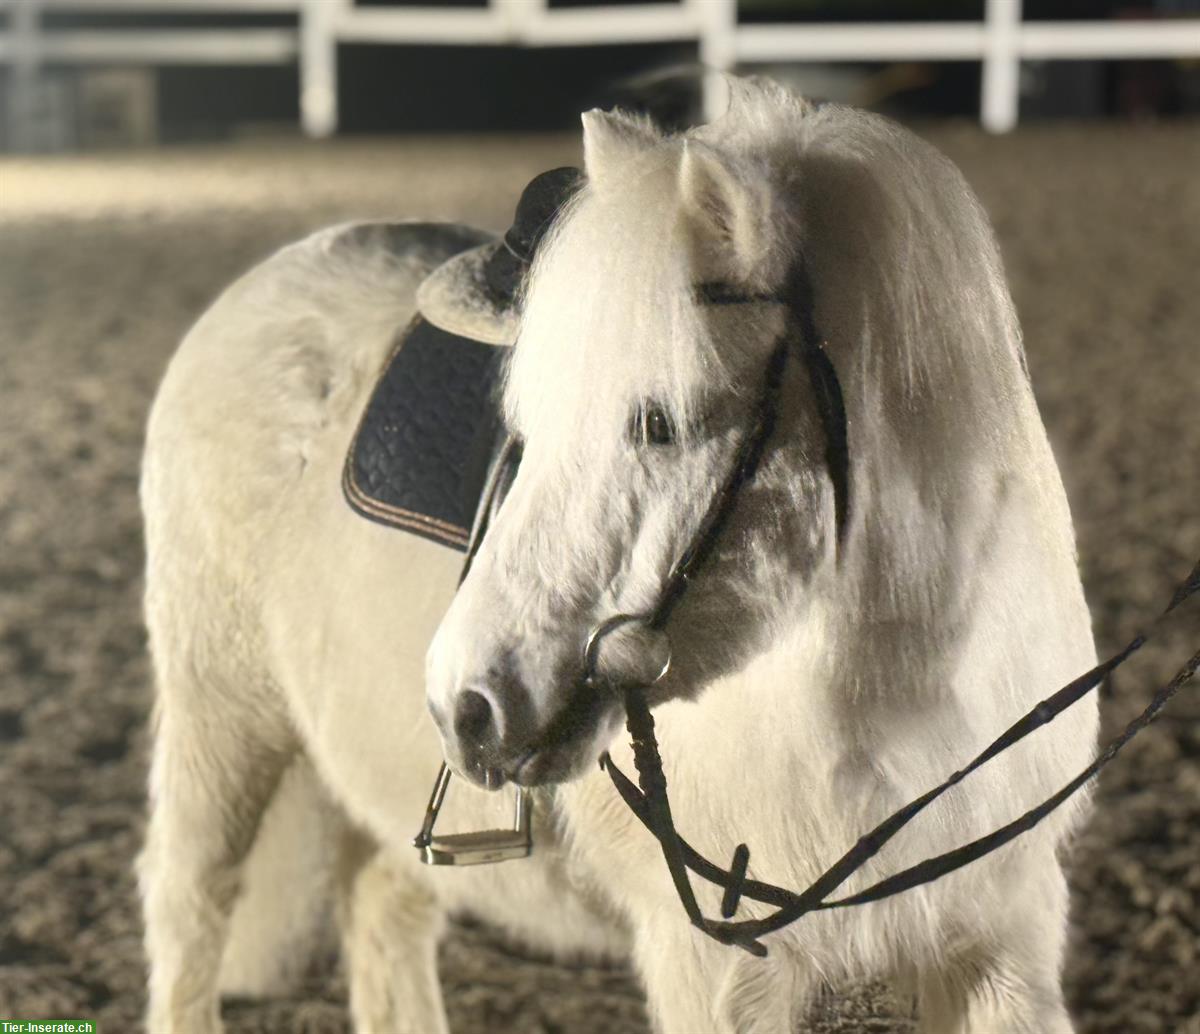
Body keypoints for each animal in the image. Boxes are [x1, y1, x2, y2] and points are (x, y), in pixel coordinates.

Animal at [139, 78, 1098, 1033]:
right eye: (525, 425)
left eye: (659, 423)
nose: (467, 704)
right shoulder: (716, 973)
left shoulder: (1001, 943)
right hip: (222, 710)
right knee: (192, 902)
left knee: (383, 909)